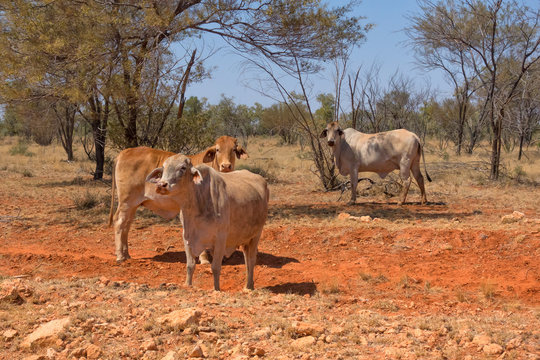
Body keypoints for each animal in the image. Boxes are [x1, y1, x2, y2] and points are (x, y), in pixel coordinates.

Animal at [109, 136, 249, 262]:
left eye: (233, 149)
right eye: (218, 150)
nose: (226, 166)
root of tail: (125, 152)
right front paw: (204, 259)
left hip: (133, 204)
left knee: (126, 225)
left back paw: (126, 254)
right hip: (126, 201)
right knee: (120, 222)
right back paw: (120, 256)